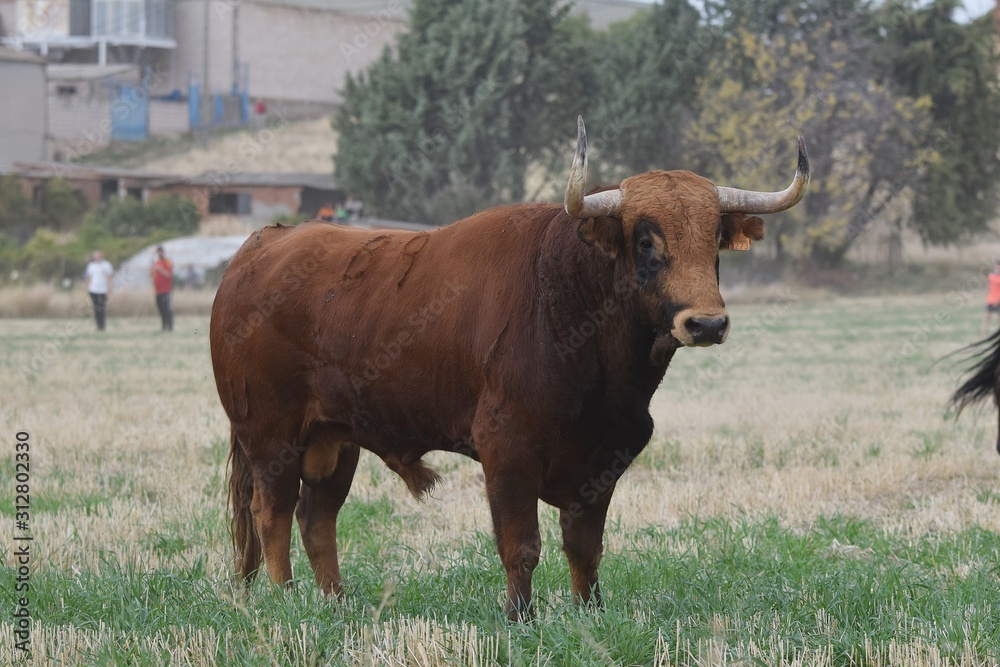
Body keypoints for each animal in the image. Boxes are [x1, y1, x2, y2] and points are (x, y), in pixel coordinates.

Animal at [210, 117, 809, 620]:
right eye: (645, 239)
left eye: (713, 240)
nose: (705, 323)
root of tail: (263, 243)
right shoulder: (507, 450)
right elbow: (521, 545)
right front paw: (519, 616)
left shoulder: (603, 459)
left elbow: (585, 547)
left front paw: (590, 610)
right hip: (271, 435)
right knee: (272, 513)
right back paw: (286, 599)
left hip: (335, 440)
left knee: (317, 517)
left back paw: (335, 602)